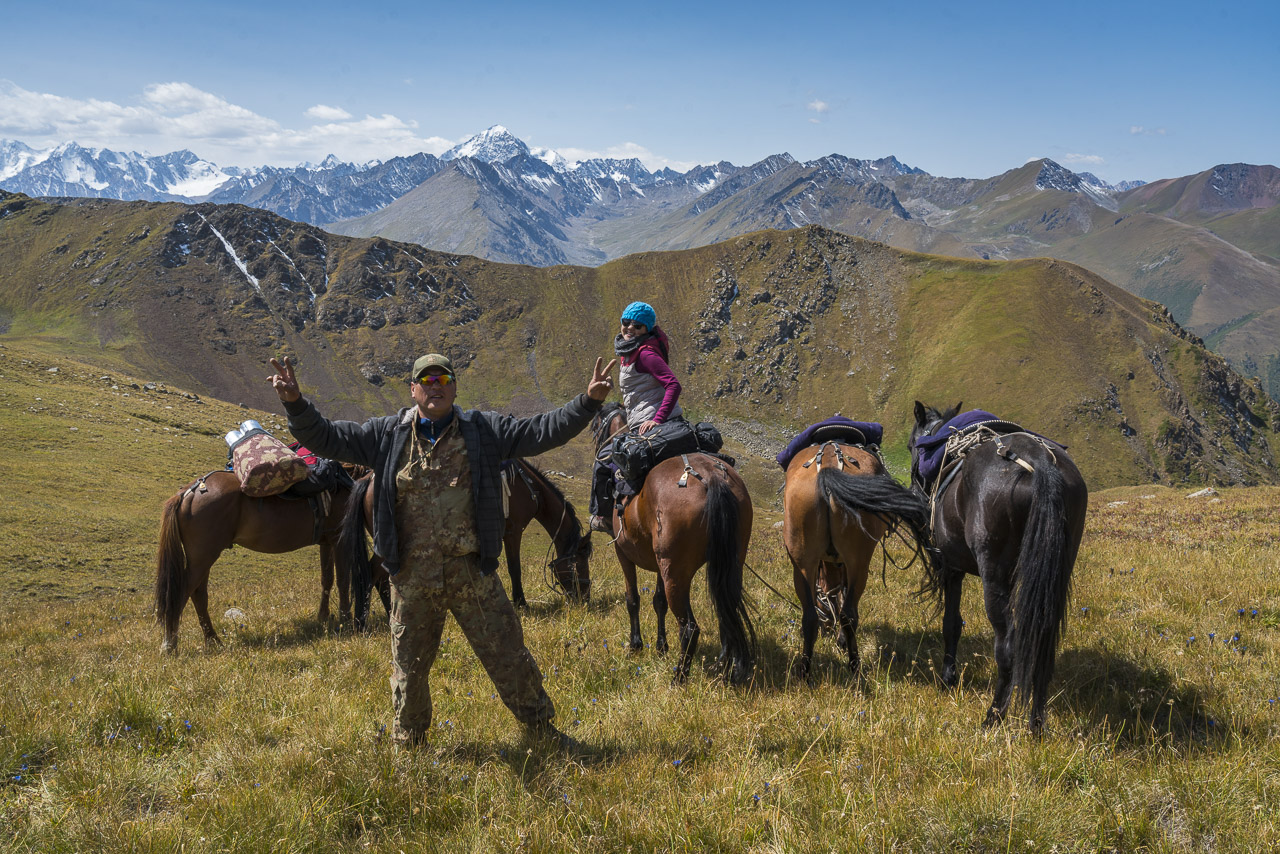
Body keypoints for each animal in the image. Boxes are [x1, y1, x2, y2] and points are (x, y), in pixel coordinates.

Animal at [156, 471, 366, 650]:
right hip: (203, 558)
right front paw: (346, 621)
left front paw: (323, 617)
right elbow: (343, 581)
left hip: (201, 559)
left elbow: (327, 579)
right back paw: (170, 645)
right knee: (180, 594)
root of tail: (187, 493)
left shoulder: (326, 542)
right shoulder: (339, 539)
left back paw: (213, 640)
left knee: (198, 595)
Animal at [343, 458, 596, 624]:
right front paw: (521, 603)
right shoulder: (513, 531)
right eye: (580, 562)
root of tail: (369, 479)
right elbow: (515, 568)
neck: (529, 488)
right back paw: (363, 622)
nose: (585, 599)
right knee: (372, 573)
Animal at [591, 402, 757, 686]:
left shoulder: (622, 552)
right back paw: (725, 666)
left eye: (596, 426)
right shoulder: (659, 564)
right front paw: (661, 646)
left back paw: (679, 677)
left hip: (676, 573)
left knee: (690, 627)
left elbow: (632, 599)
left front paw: (636, 645)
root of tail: (711, 478)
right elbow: (659, 601)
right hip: (726, 564)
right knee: (726, 614)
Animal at [778, 437, 931, 686]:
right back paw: (855, 669)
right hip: (859, 562)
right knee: (848, 614)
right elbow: (842, 596)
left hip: (802, 562)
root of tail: (828, 467)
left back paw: (805, 673)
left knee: (809, 617)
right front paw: (841, 641)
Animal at [911, 402, 1090, 737]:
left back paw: (993, 716)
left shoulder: (952, 569)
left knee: (1006, 647)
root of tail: (1039, 462)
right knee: (1043, 644)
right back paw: (1036, 725)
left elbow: (951, 624)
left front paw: (948, 678)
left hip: (995, 578)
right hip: (1055, 576)